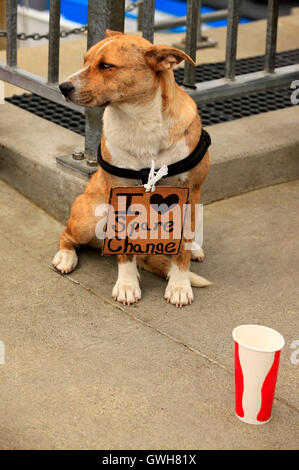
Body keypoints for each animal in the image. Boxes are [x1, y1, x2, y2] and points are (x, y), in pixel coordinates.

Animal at [52, 30, 211, 308]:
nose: (63, 87)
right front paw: (127, 285)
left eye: (106, 66)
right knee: (67, 234)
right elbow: (125, 252)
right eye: (85, 60)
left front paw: (179, 286)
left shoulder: (190, 194)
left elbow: (181, 252)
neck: (140, 122)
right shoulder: (120, 196)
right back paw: (66, 257)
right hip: (90, 216)